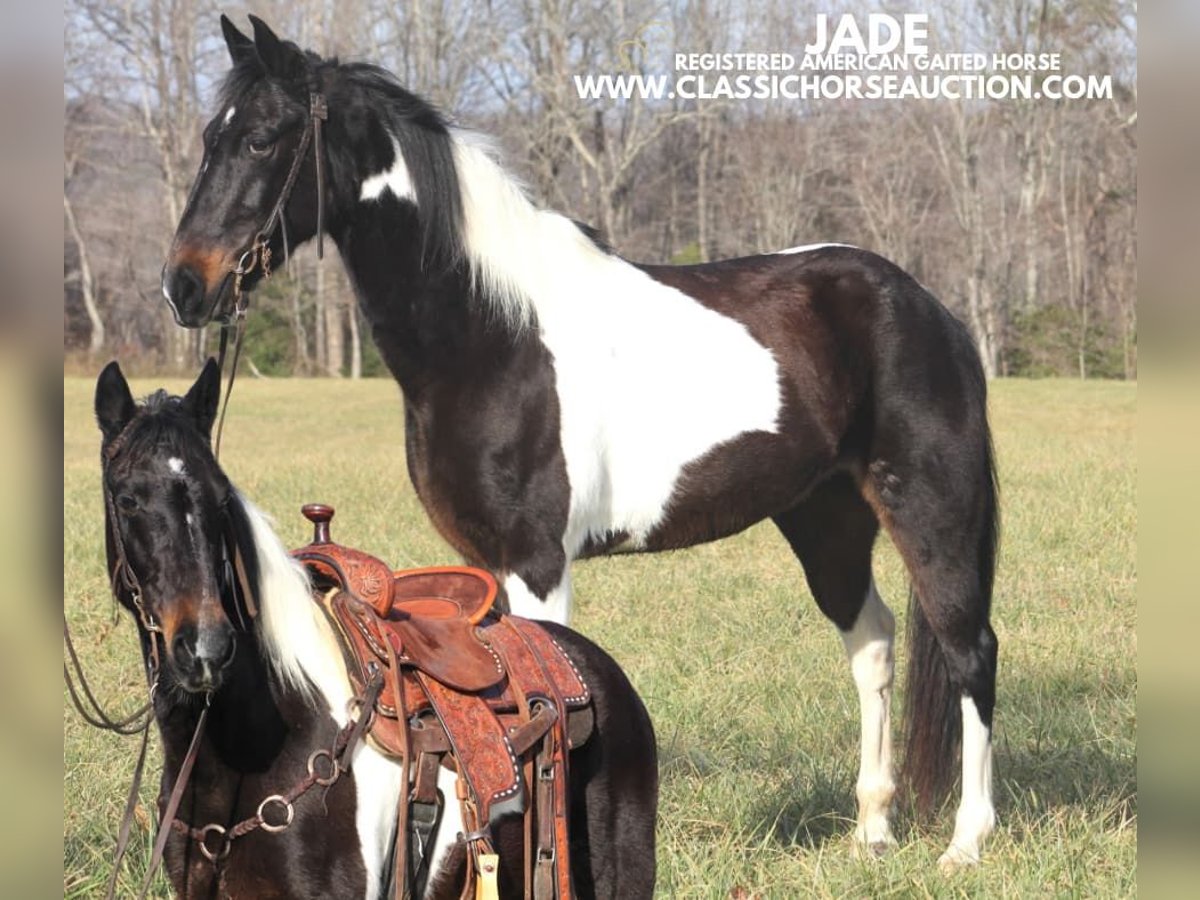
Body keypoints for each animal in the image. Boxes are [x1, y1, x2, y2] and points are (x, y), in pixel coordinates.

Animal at [162, 14, 1003, 868]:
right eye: (209, 137)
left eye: (263, 137)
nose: (184, 286)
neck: (493, 331)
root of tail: (927, 306)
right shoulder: (486, 567)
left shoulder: (538, 562)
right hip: (826, 519)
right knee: (873, 645)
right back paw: (871, 831)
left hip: (931, 509)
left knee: (970, 651)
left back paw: (966, 842)